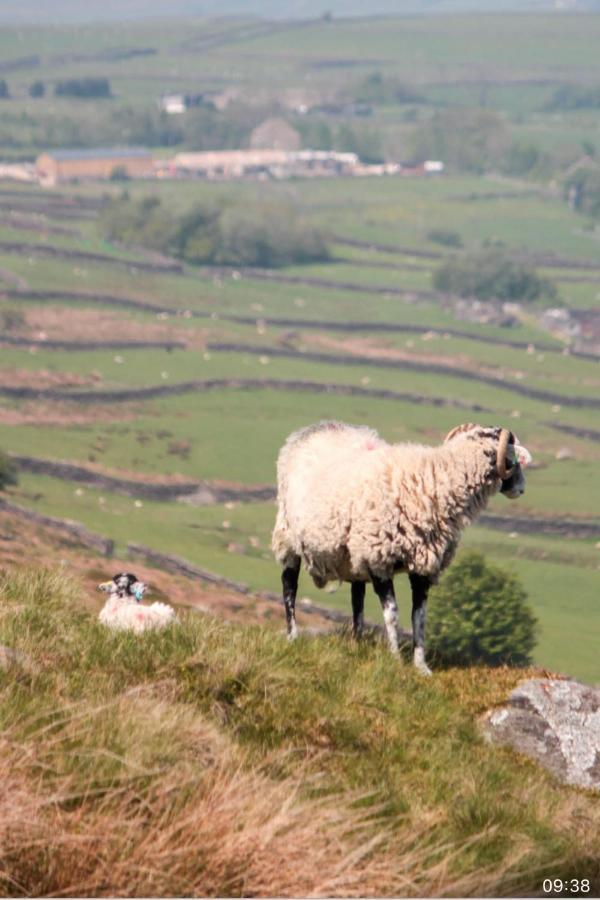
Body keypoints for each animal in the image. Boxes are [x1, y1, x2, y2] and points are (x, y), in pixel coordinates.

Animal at [272, 422, 528, 676]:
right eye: (512, 461)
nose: (522, 489)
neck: (435, 481)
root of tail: (313, 428)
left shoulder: (423, 566)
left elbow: (419, 617)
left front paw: (421, 666)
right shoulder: (379, 560)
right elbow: (392, 613)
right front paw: (395, 659)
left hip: (354, 554)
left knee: (357, 598)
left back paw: (357, 643)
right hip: (288, 537)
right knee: (289, 586)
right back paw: (293, 636)